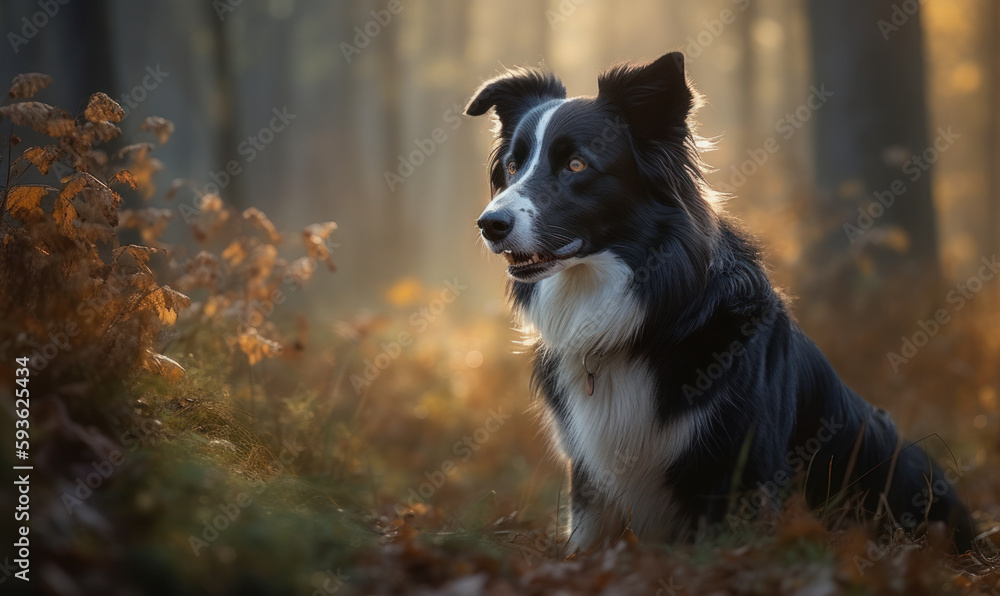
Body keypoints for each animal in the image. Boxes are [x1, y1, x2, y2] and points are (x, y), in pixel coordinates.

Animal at [468, 53, 976, 552]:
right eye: (512, 167)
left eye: (576, 165)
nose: (489, 224)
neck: (645, 315)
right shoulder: (591, 475)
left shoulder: (739, 467)